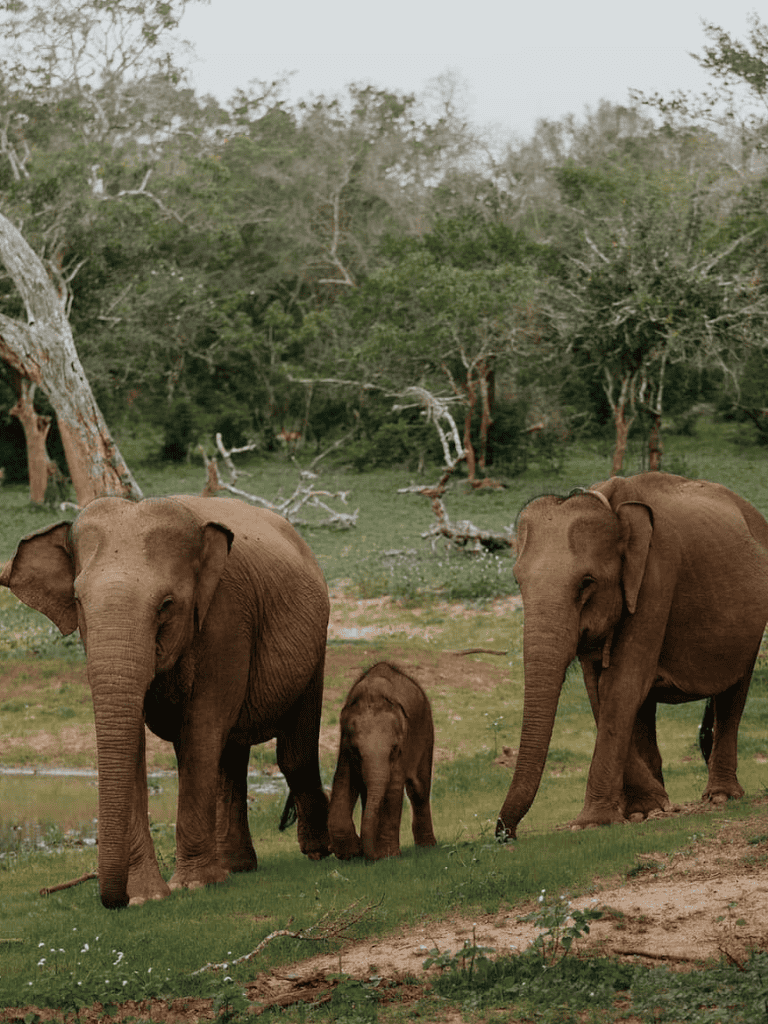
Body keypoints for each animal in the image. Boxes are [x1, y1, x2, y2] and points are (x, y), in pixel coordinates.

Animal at [0, 495, 331, 907]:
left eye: (166, 604)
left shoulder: (227, 617)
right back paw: (236, 867)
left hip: (317, 643)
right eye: (77, 601)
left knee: (292, 753)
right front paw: (147, 897)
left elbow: (202, 727)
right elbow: (136, 742)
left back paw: (317, 853)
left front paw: (193, 886)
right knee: (231, 757)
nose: (114, 900)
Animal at [328, 662, 437, 860]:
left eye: (394, 749)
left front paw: (388, 857)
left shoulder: (403, 747)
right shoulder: (344, 746)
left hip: (426, 731)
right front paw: (351, 854)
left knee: (419, 790)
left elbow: (393, 790)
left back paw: (427, 848)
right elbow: (342, 782)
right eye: (356, 751)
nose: (371, 855)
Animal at [497, 472, 768, 840]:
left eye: (586, 583)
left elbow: (622, 686)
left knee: (733, 691)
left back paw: (721, 797)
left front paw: (591, 823)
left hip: (752, 625)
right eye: (518, 582)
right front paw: (648, 808)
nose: (505, 835)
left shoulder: (656, 577)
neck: (613, 508)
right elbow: (600, 690)